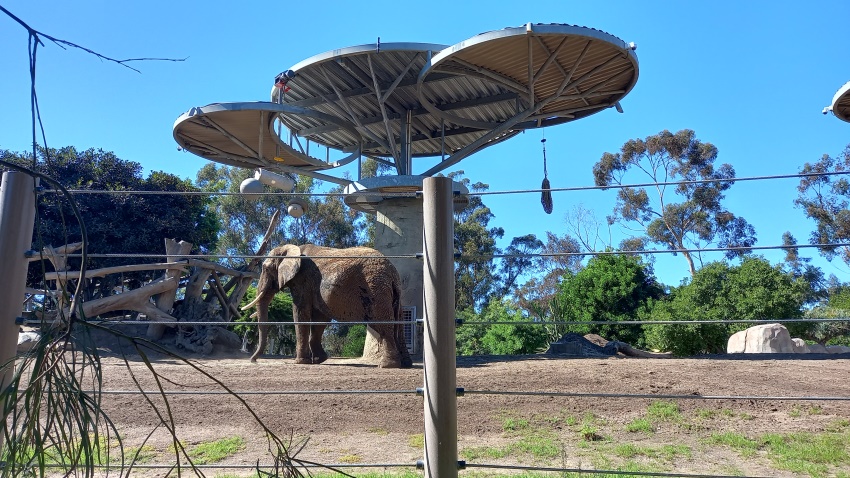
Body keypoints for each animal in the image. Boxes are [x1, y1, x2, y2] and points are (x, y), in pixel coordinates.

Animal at [240, 245, 412, 368]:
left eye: (266, 268)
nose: (253, 361)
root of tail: (392, 271)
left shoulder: (303, 280)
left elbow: (300, 312)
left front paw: (300, 362)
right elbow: (320, 319)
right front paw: (318, 360)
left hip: (375, 287)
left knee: (383, 324)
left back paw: (387, 365)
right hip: (392, 292)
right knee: (398, 324)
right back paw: (405, 364)